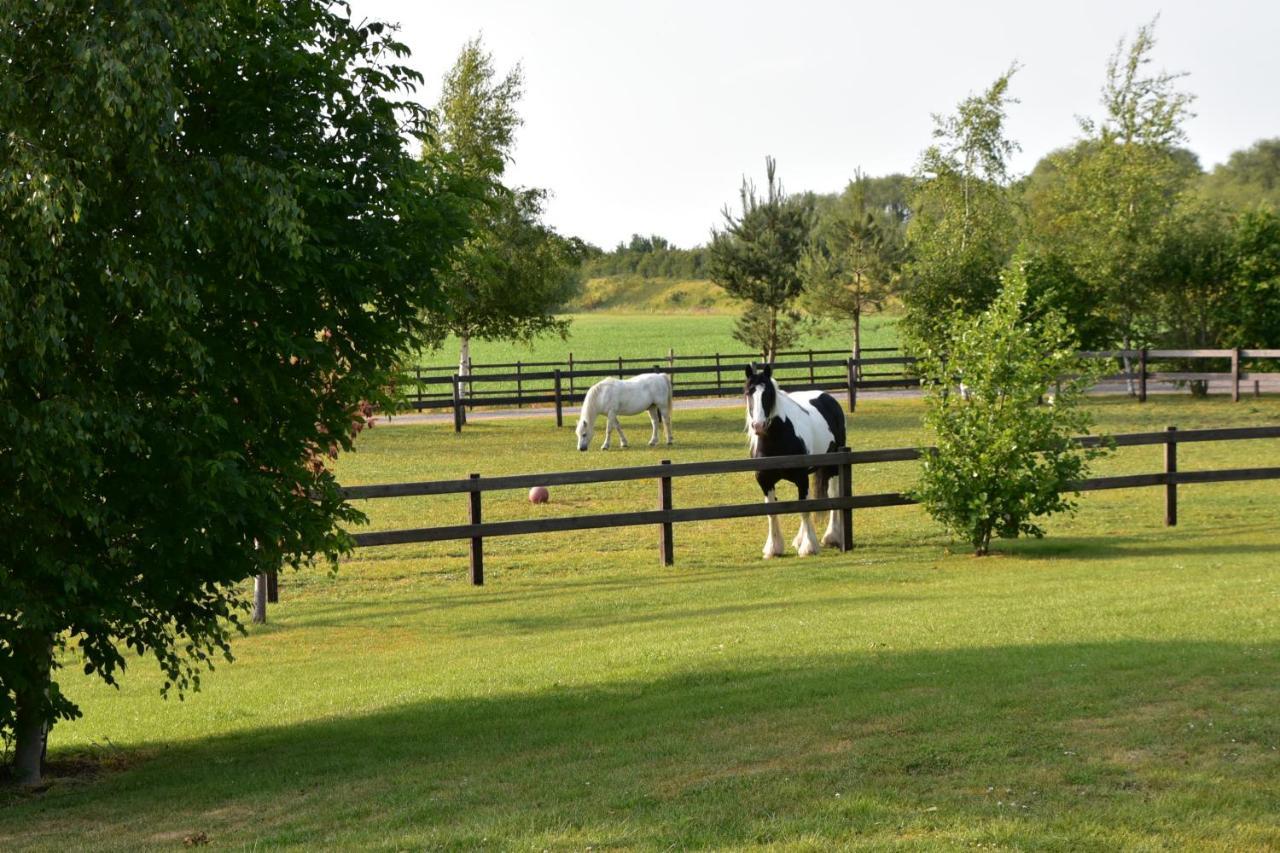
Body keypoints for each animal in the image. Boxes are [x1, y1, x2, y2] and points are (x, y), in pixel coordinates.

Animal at [742, 363, 849, 558]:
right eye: (748, 393)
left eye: (768, 394)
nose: (758, 426)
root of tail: (827, 397)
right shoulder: (764, 480)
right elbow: (772, 511)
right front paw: (773, 548)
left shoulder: (801, 477)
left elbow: (804, 509)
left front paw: (809, 547)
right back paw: (800, 539)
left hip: (831, 467)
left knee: (833, 495)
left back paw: (831, 536)